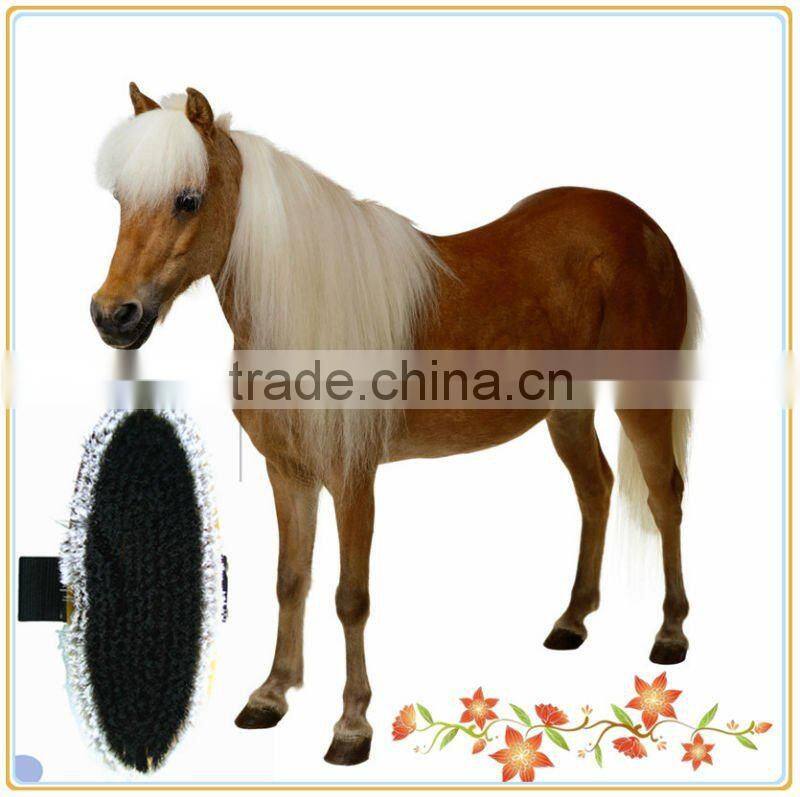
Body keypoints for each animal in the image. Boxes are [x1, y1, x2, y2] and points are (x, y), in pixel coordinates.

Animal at [91, 85, 699, 766]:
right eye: (121, 199)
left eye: (188, 199)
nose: (113, 315)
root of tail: (644, 227)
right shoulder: (289, 473)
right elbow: (291, 581)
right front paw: (271, 695)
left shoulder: (353, 479)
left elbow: (350, 598)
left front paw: (352, 727)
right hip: (565, 411)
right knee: (596, 489)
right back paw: (571, 622)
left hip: (641, 399)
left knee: (664, 495)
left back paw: (671, 634)